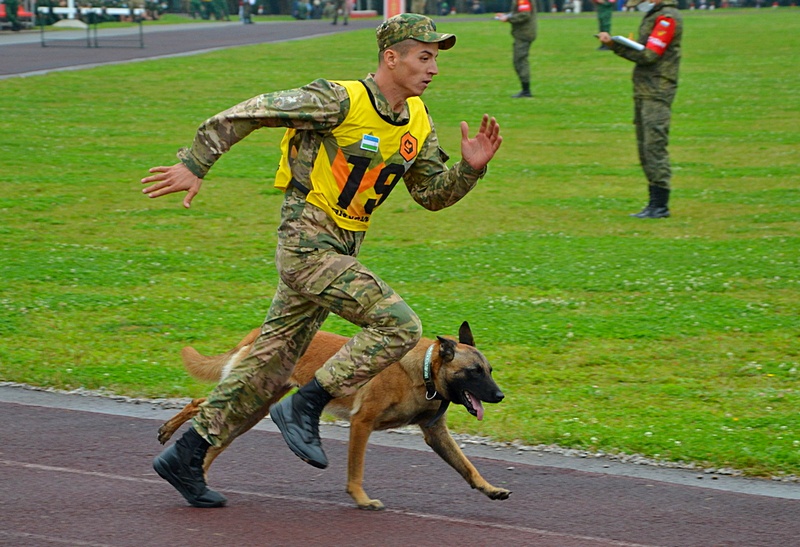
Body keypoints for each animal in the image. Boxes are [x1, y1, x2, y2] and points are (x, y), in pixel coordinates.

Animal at [159, 322, 510, 510]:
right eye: (474, 372)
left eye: (490, 370)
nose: (500, 396)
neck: (423, 372)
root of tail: (259, 333)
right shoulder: (362, 423)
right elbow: (356, 470)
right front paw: (362, 499)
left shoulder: (435, 433)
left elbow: (467, 467)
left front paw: (491, 488)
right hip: (253, 398)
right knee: (200, 405)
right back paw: (169, 435)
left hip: (254, 408)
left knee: (213, 430)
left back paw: (195, 477)